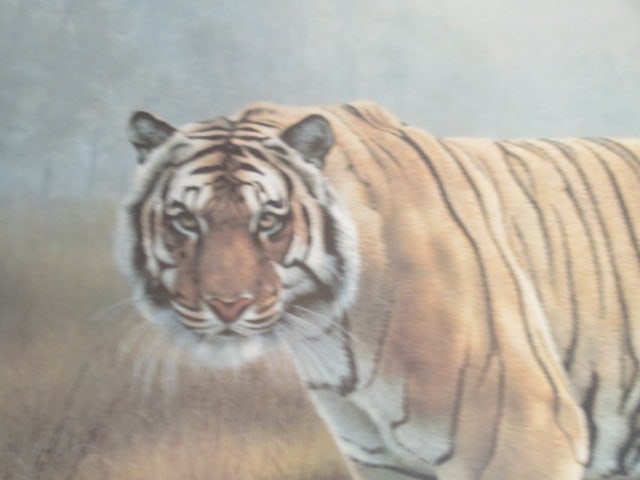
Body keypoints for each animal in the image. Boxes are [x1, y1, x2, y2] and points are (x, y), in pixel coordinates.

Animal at [115, 100, 640, 480]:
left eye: (268, 221)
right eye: (186, 220)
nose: (228, 306)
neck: (326, 332)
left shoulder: (528, 438)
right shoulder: (382, 461)